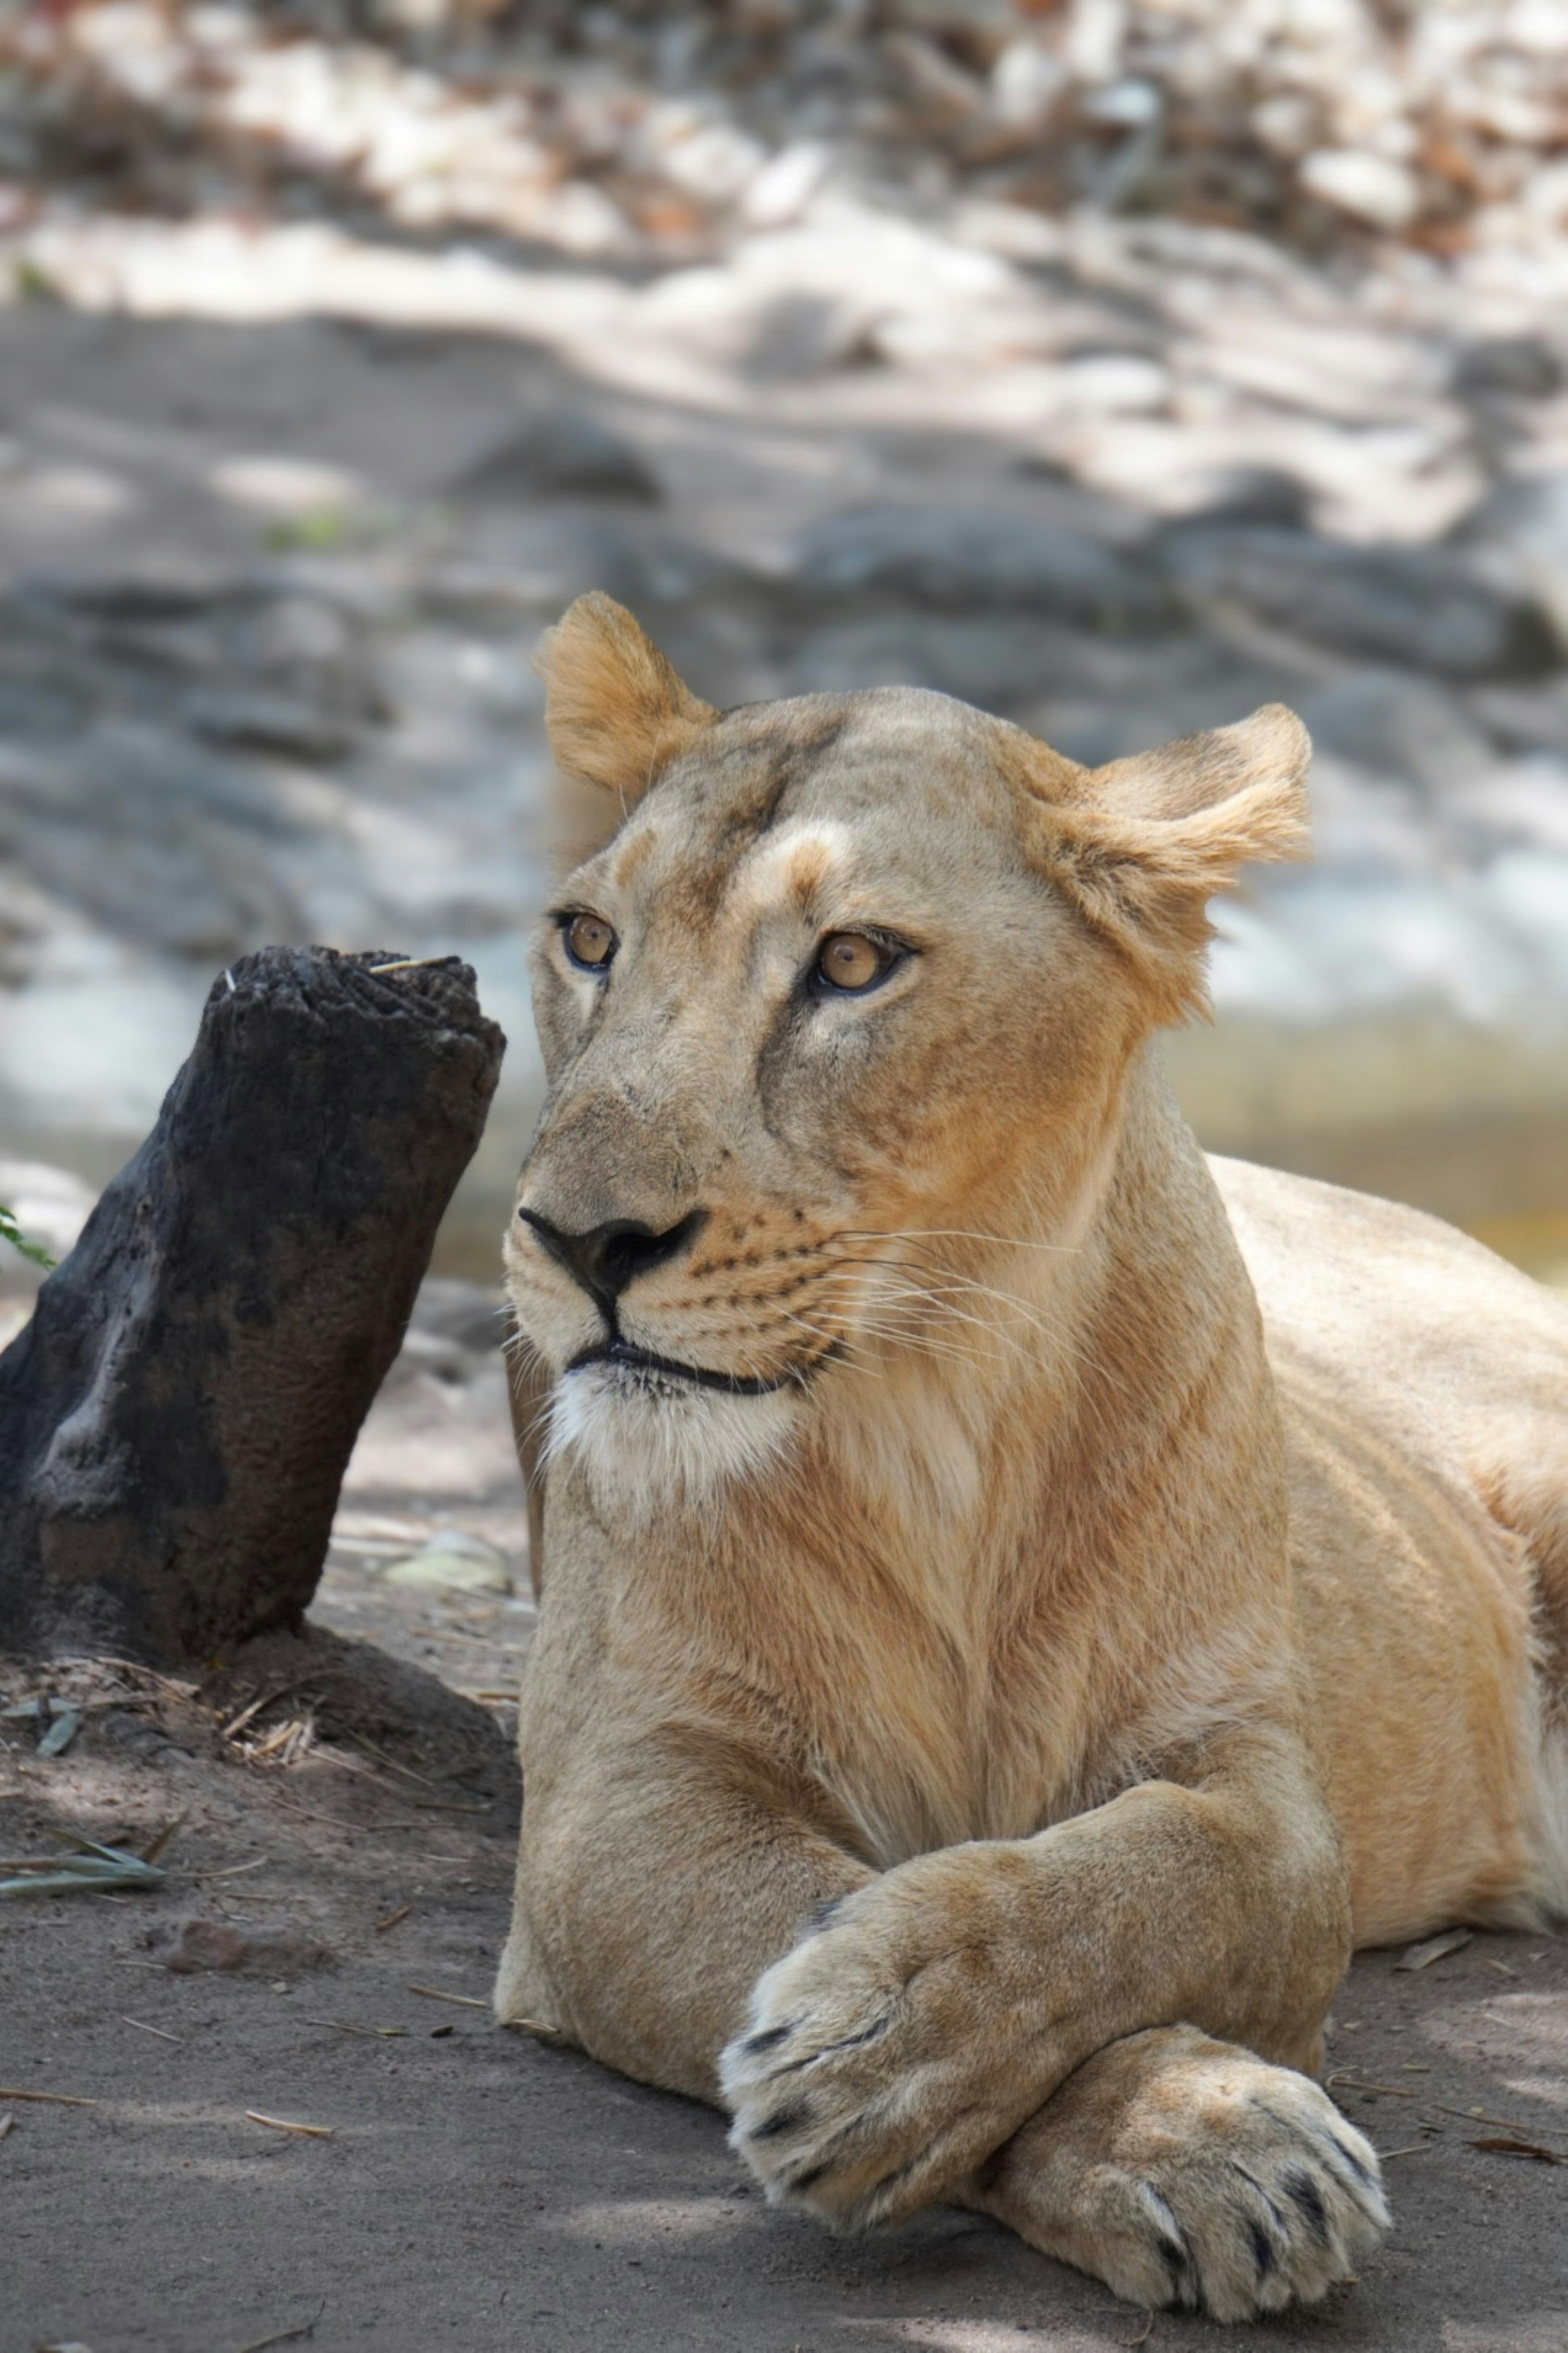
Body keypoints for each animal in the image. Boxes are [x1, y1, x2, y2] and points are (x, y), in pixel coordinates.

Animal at [494, 590, 1568, 2323]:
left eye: (851, 961)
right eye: (588, 939)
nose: (577, 1241)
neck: (933, 1409)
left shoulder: (1253, 1766)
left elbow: (1170, 1871)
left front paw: (902, 2032)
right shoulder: (615, 1802)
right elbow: (809, 1907)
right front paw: (1197, 2133)